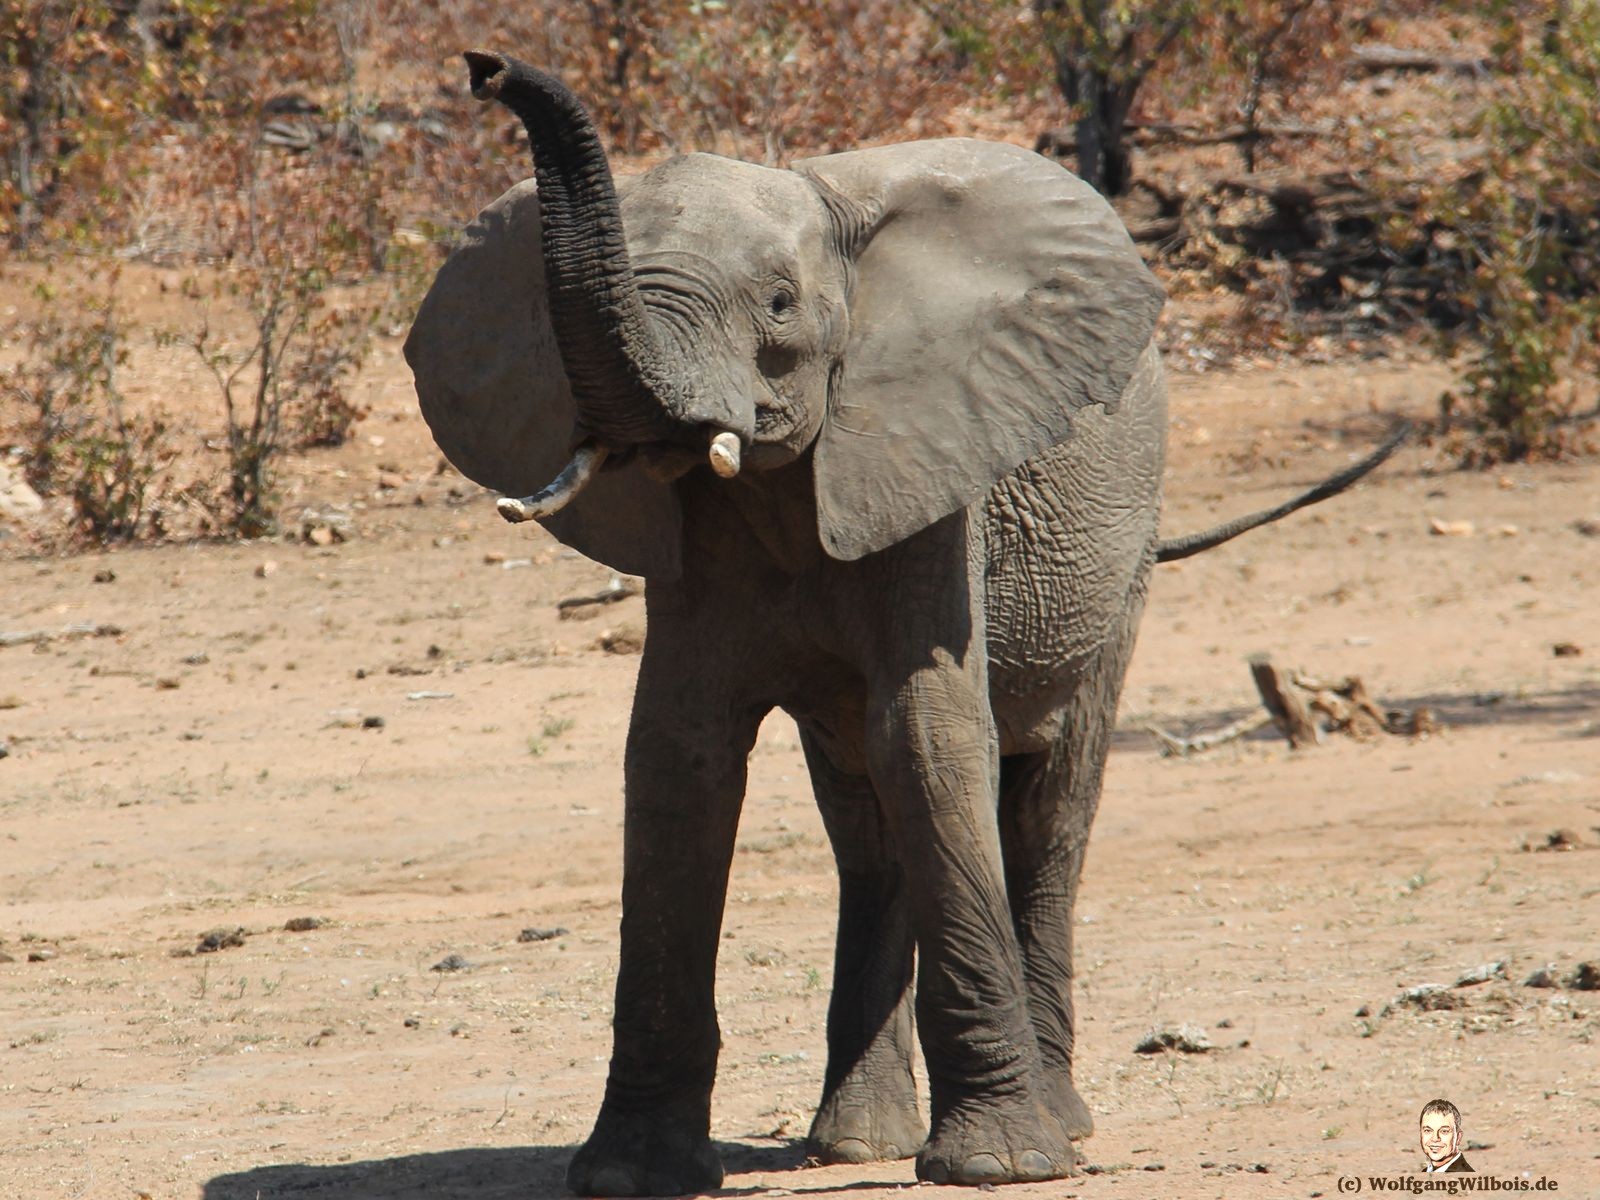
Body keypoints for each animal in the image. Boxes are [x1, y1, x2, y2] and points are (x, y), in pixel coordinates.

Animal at [406, 51, 1408, 1196]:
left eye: (780, 305)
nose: (487, 68)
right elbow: (677, 759)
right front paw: (631, 1176)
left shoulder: (933, 482)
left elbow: (928, 739)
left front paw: (1001, 1167)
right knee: (866, 831)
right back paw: (852, 1144)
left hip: (1128, 562)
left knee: (1049, 812)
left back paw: (1061, 1129)